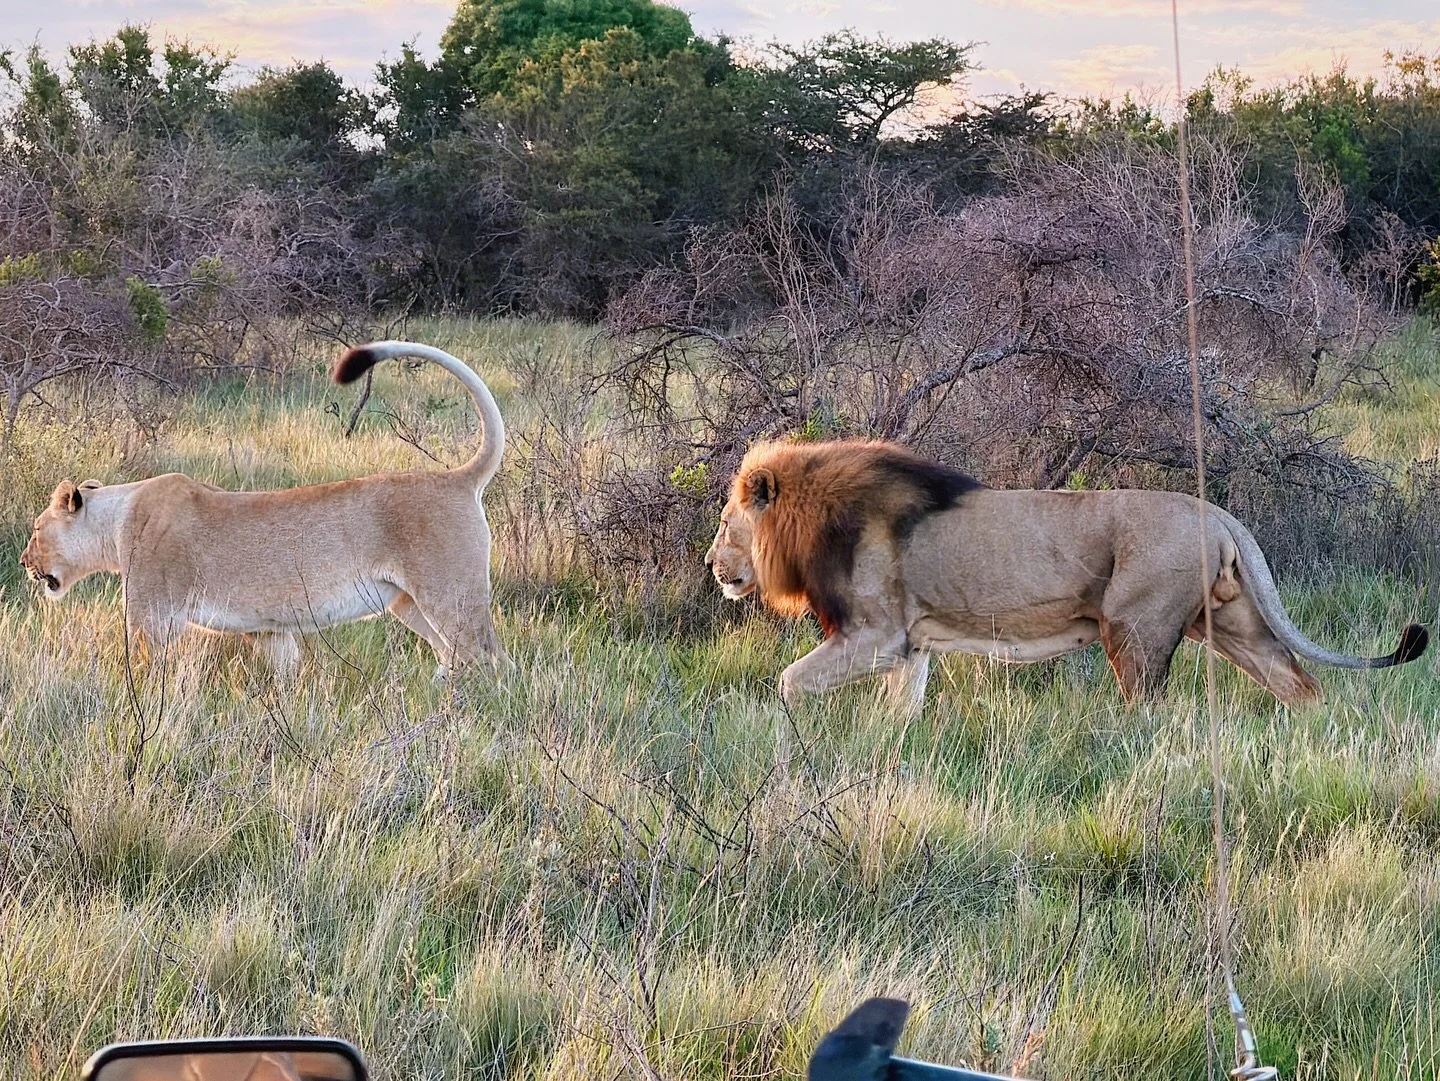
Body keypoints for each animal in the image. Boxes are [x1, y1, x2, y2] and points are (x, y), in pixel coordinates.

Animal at [18, 340, 508, 679]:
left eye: (37, 529)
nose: (23, 562)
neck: (117, 518)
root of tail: (457, 477)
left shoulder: (152, 617)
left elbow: (144, 673)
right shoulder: (271, 630)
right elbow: (283, 676)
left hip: (450, 594)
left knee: (493, 660)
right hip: (409, 604)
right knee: (454, 655)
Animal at [705, 439, 1428, 712]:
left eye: (725, 522)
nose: (712, 567)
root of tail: (1219, 511)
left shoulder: (875, 635)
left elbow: (789, 682)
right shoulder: (908, 644)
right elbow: (897, 712)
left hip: (1135, 628)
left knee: (1149, 708)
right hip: (1230, 621)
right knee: (1297, 681)